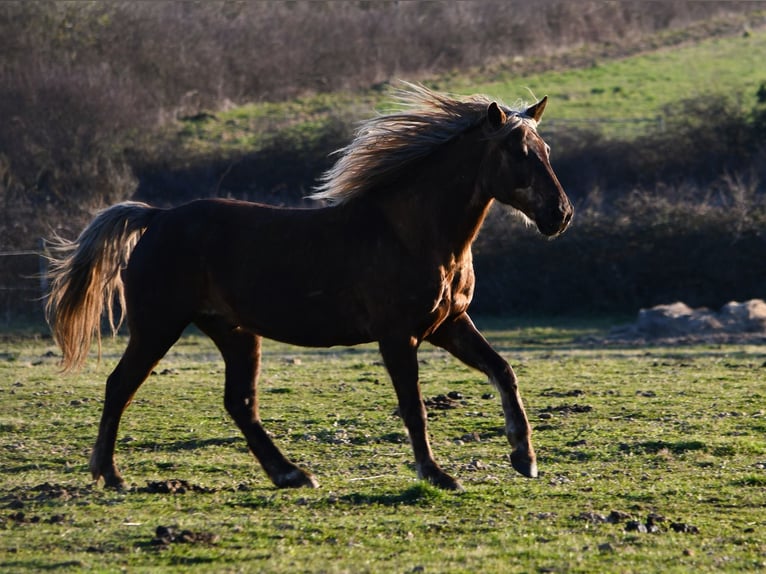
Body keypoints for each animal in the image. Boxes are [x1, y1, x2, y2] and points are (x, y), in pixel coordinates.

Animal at [46, 84, 573, 491]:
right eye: (518, 153)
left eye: (546, 152)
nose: (560, 215)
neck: (412, 233)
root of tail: (156, 217)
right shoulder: (397, 335)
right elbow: (414, 406)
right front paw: (436, 474)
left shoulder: (449, 324)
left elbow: (503, 370)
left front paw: (524, 458)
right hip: (158, 326)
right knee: (120, 386)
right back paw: (110, 474)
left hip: (234, 333)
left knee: (239, 403)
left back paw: (291, 475)